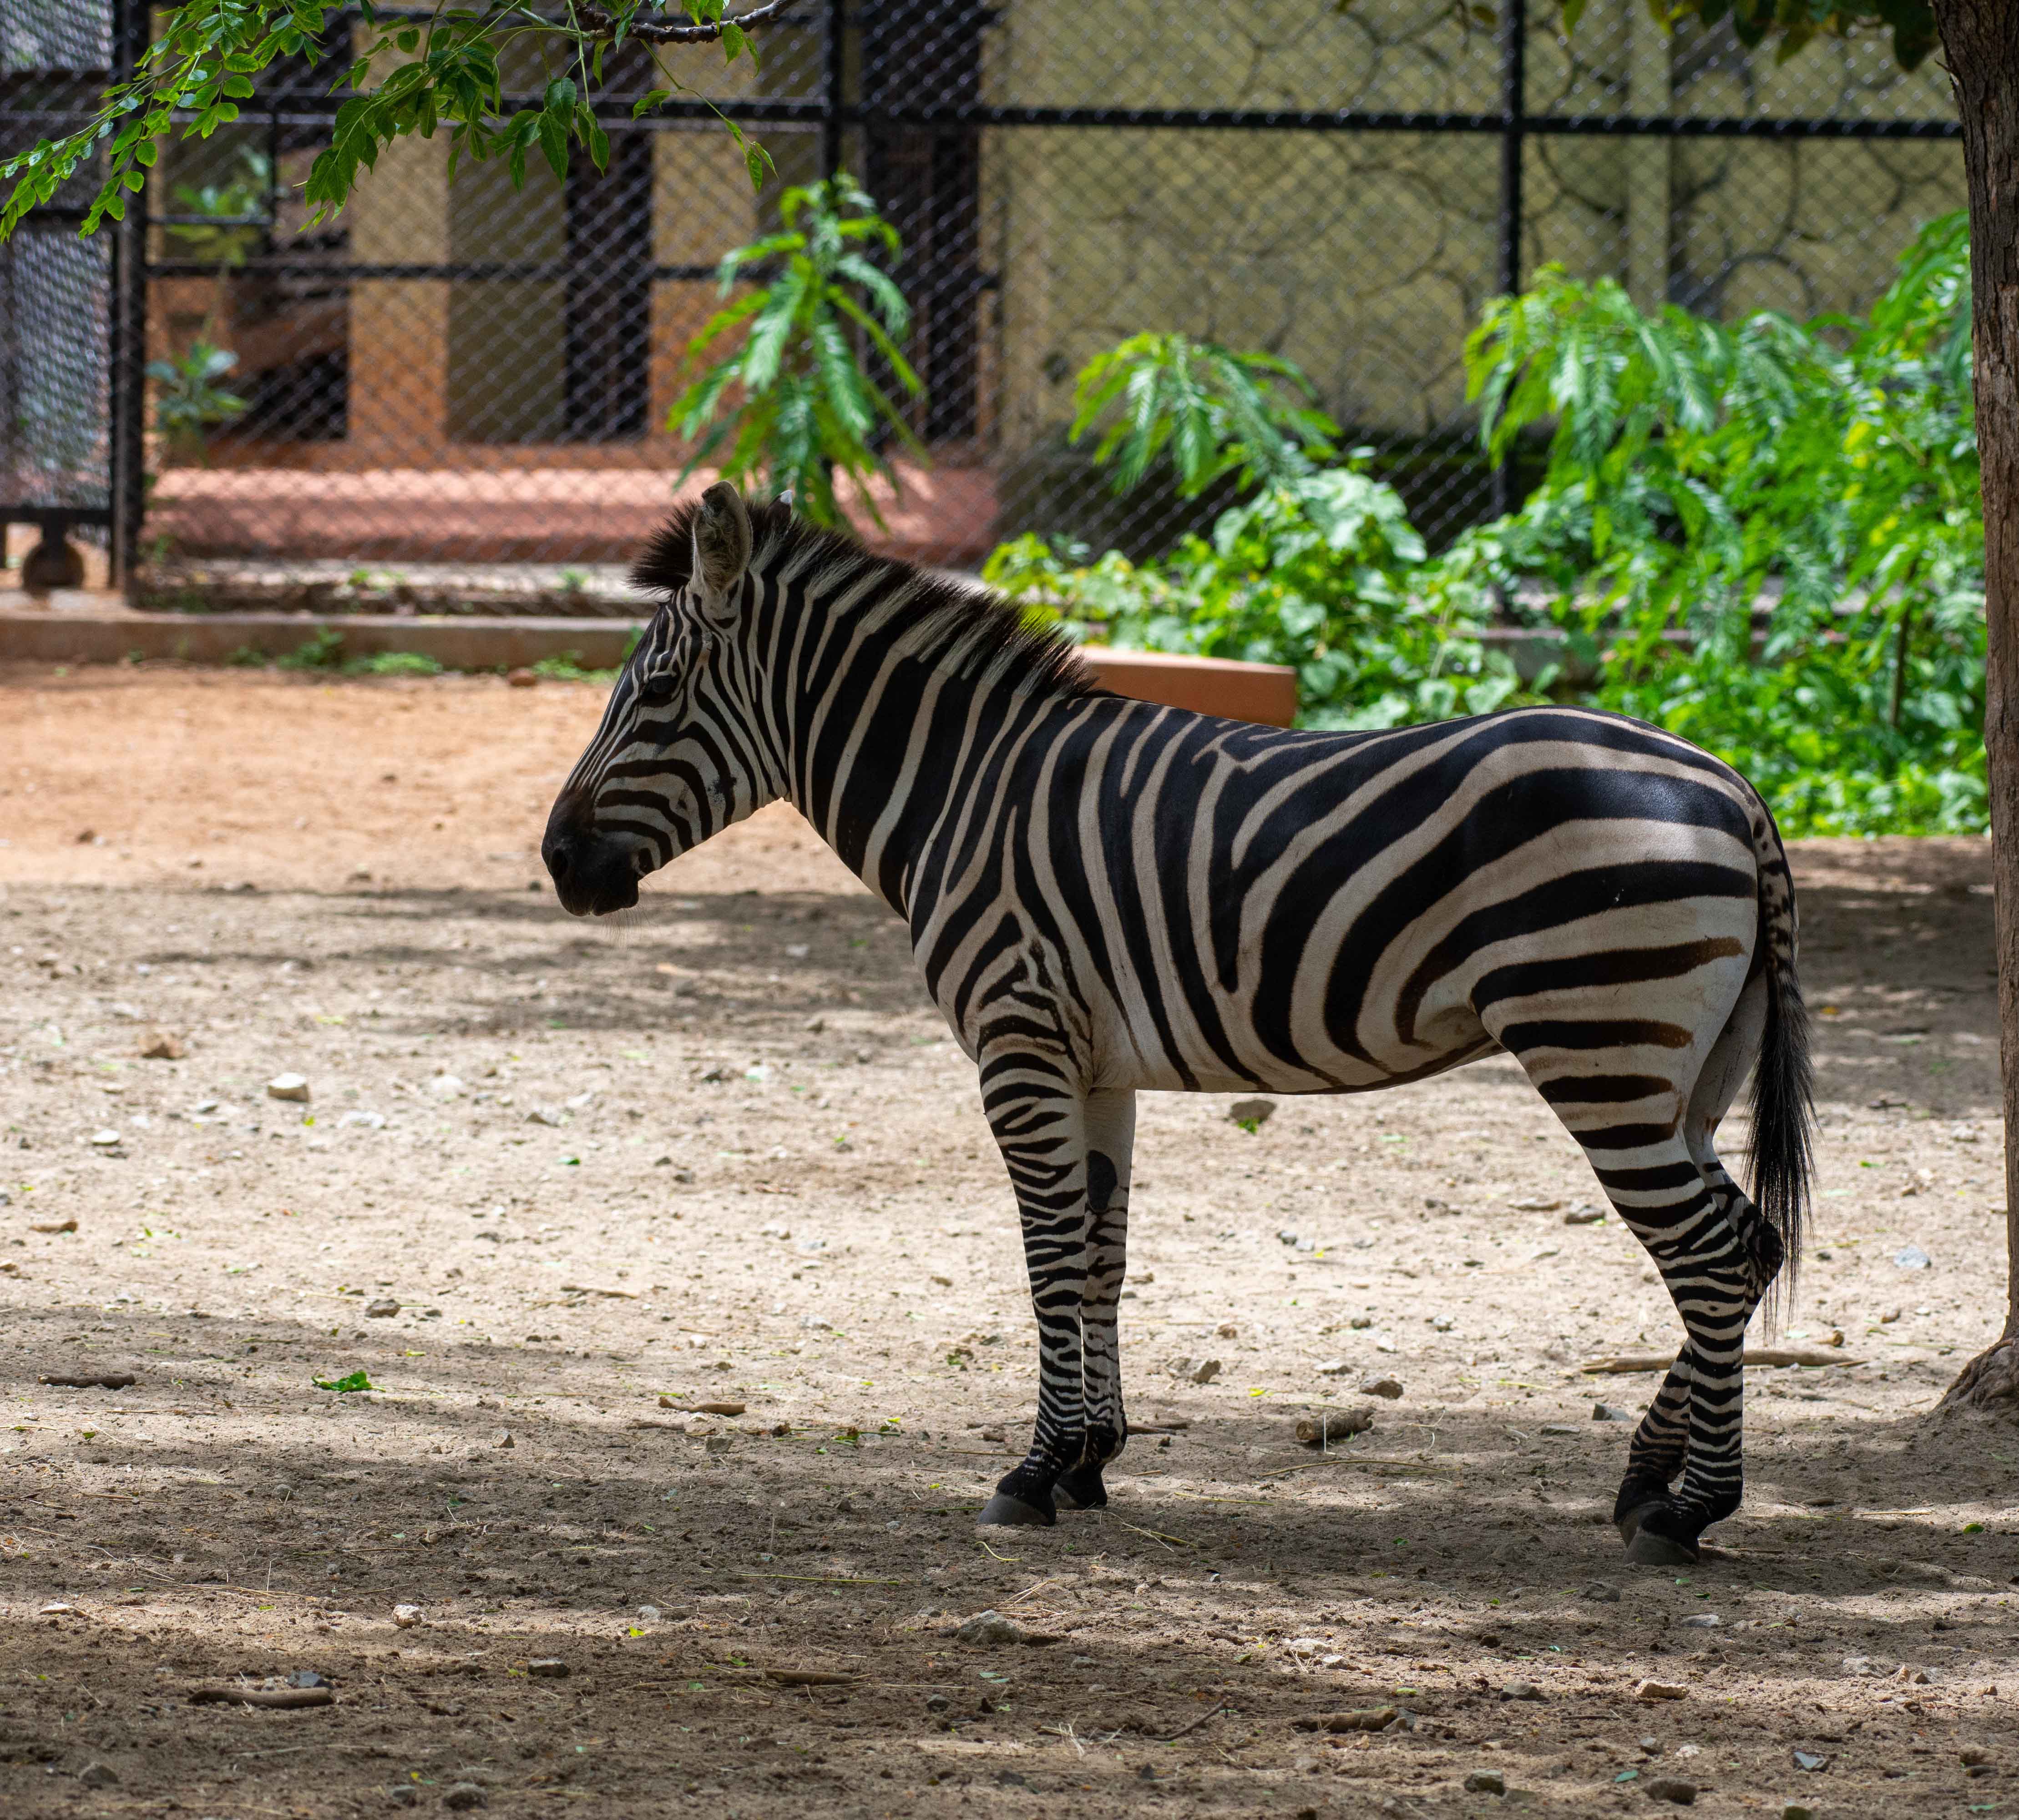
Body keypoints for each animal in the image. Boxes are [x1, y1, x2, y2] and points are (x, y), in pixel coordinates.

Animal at [549, 484, 1817, 1566]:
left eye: (653, 692)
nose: (558, 863)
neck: (958, 788)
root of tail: (1730, 786)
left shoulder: (1016, 1041)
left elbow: (1047, 1253)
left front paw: (1030, 1471)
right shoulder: (1093, 1065)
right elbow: (1099, 1253)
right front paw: (1087, 1461)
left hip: (1598, 1045)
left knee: (1712, 1252)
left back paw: (1690, 1507)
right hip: (1685, 1071)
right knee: (1746, 1244)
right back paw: (1645, 1478)